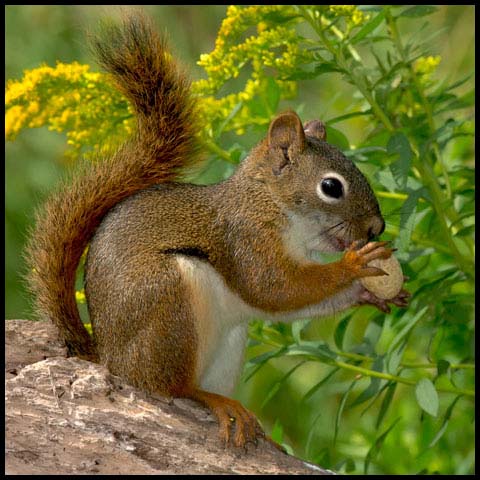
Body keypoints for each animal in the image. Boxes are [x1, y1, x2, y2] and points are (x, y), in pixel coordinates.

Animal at [25, 15, 408, 450]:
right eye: (331, 187)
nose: (377, 227)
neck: (271, 205)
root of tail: (110, 359)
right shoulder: (245, 238)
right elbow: (274, 287)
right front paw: (354, 264)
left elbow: (293, 300)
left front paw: (373, 293)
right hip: (168, 304)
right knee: (170, 386)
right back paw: (211, 400)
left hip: (228, 342)